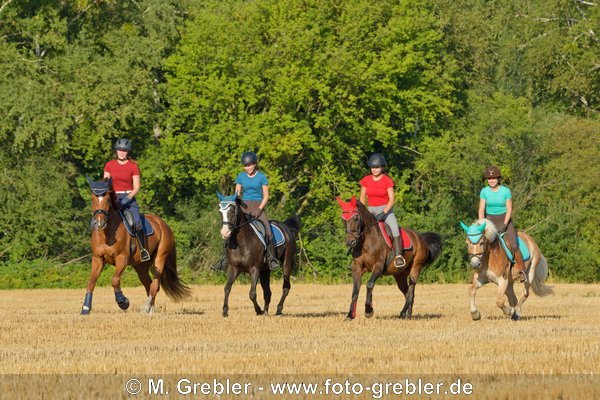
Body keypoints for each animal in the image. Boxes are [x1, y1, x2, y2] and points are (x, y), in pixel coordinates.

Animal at [82, 177, 190, 314]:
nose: (100, 223)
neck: (107, 234)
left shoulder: (122, 258)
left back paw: (146, 307)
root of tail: (164, 224)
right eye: (92, 199)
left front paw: (123, 302)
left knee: (154, 285)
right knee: (148, 284)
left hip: (160, 257)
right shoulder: (98, 258)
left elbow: (115, 280)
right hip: (141, 266)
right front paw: (85, 308)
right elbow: (91, 282)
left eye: (107, 199)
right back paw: (150, 309)